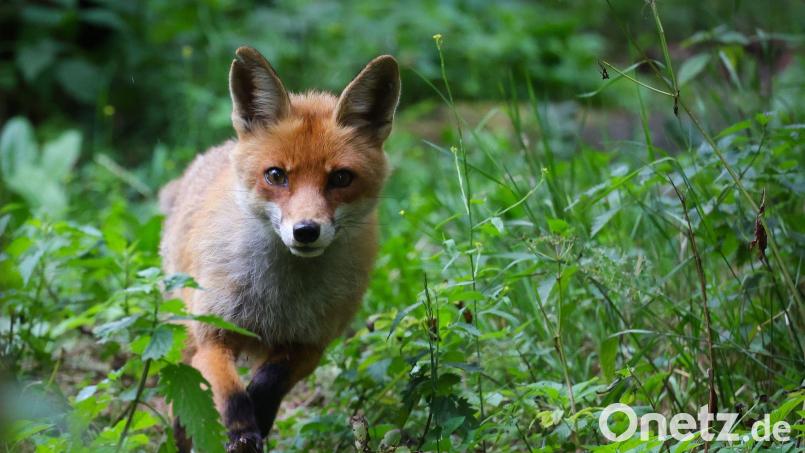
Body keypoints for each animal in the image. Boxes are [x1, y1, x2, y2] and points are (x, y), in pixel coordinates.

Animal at [158, 46, 400, 452]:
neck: (279, 299)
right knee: (185, 394)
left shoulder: (310, 344)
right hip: (185, 326)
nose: (305, 231)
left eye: (341, 178)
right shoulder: (213, 332)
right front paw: (241, 430)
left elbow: (269, 383)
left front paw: (260, 413)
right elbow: (229, 392)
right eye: (276, 175)